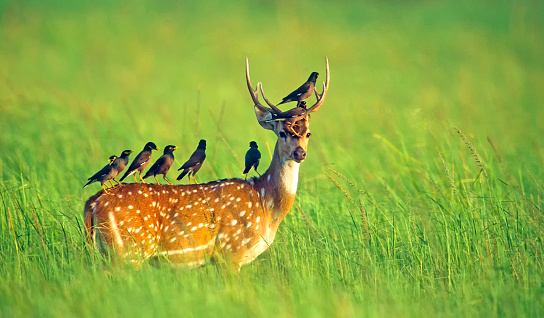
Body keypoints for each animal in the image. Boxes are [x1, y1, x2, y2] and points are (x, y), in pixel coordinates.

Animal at [84, 58, 330, 270]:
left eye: (308, 133)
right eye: (281, 133)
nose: (300, 153)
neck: (266, 203)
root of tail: (92, 203)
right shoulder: (230, 250)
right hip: (127, 251)